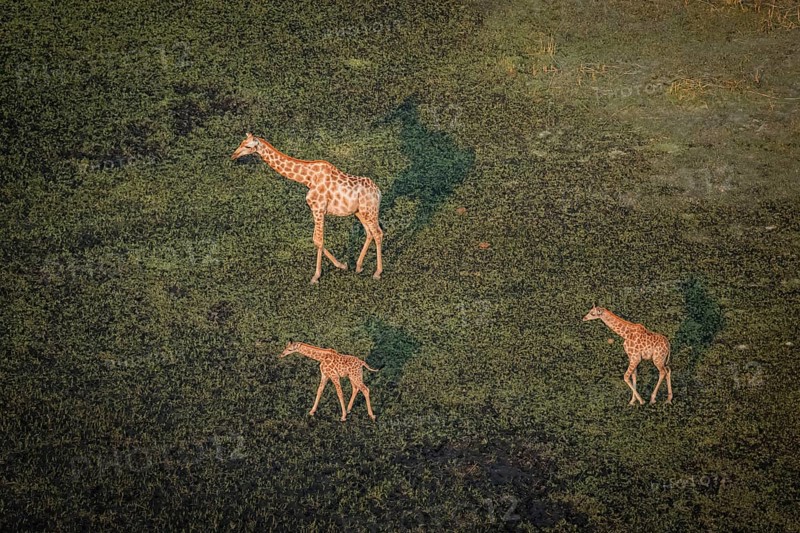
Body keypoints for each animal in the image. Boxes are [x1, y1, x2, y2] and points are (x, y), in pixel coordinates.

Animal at [231, 133, 383, 284]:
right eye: (241, 142)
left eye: (248, 146)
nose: (233, 155)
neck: (308, 178)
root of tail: (378, 192)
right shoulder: (316, 209)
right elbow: (315, 239)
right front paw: (342, 265)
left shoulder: (319, 208)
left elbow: (319, 240)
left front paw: (316, 276)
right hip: (360, 212)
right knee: (369, 232)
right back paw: (358, 267)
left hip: (370, 211)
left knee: (378, 233)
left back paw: (377, 272)